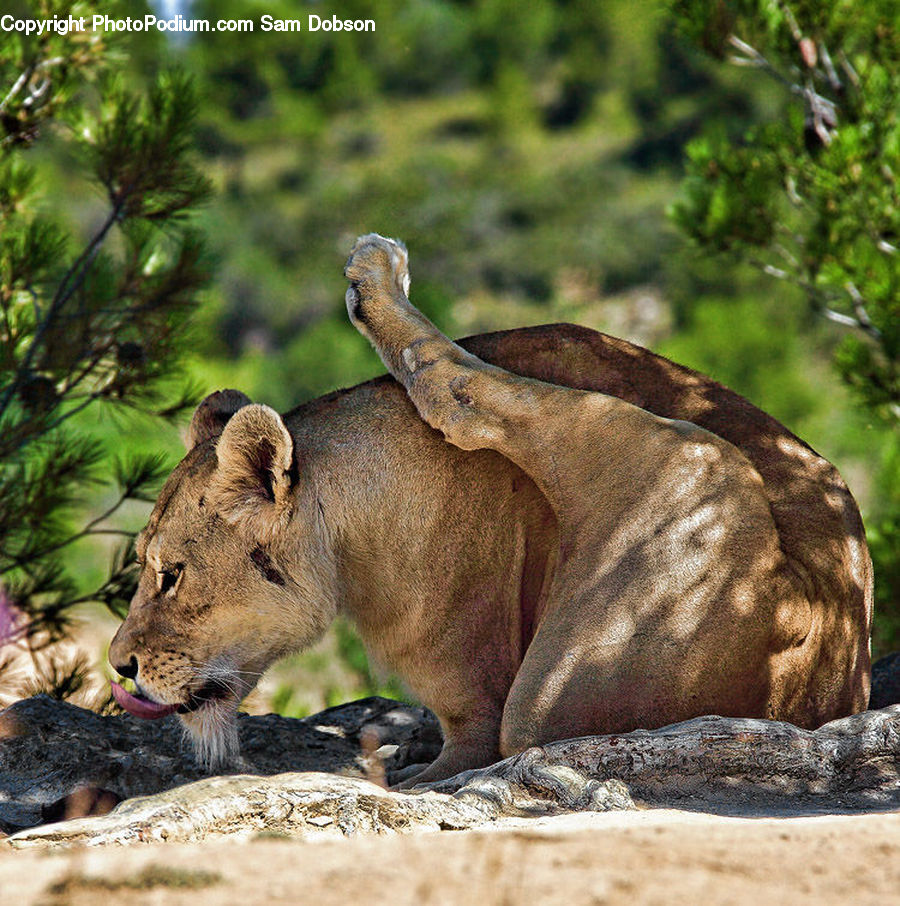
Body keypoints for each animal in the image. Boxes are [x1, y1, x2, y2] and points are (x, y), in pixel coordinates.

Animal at [109, 233, 872, 783]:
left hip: (599, 601)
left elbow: (462, 743)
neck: (354, 529)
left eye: (172, 574)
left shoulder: (479, 708)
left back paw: (376, 275)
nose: (119, 668)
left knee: (461, 391)